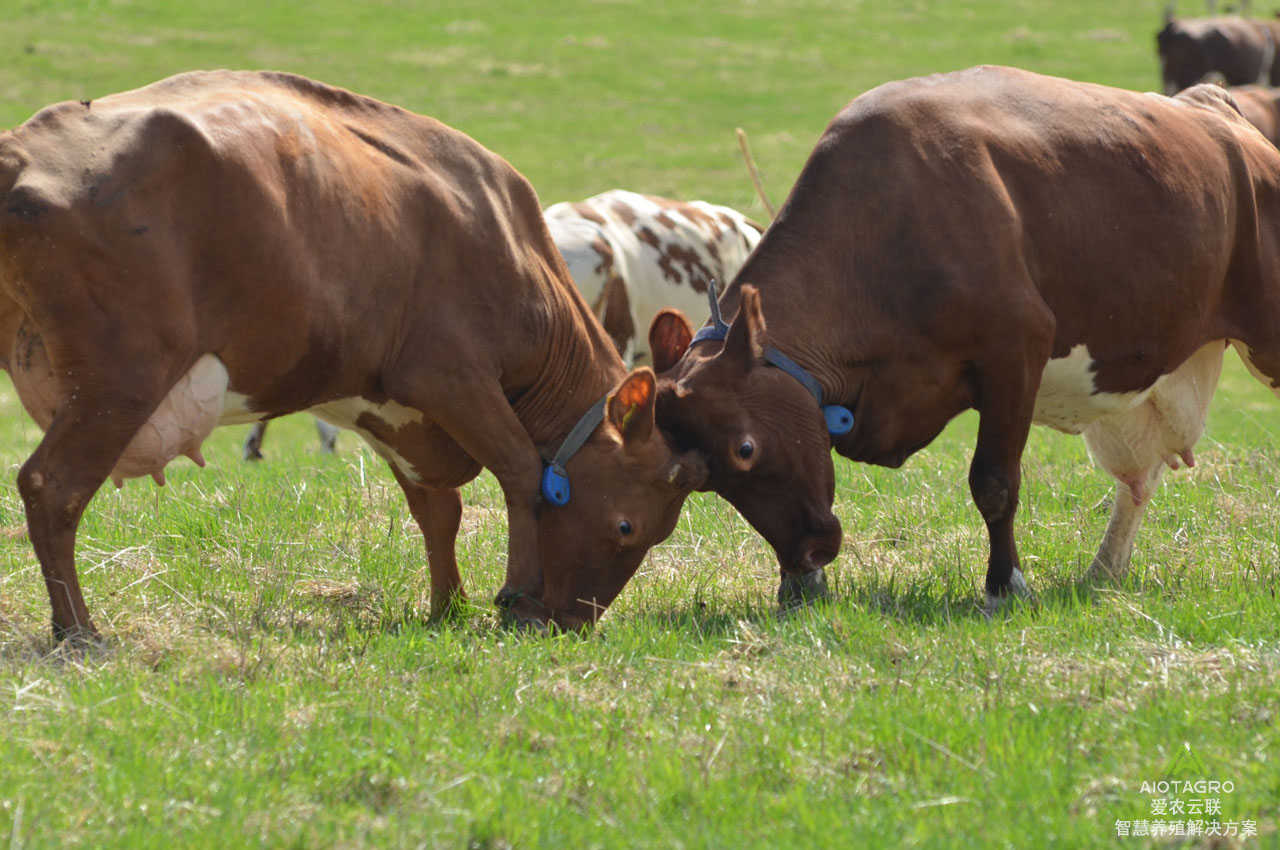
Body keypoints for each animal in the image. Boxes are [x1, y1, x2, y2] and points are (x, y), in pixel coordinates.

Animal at [0, 72, 706, 640]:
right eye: (627, 527)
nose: (571, 624)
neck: (507, 239)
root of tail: (20, 148)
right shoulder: (451, 375)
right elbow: (523, 472)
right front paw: (515, 598)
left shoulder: (392, 406)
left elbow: (437, 510)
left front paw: (447, 608)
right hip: (121, 378)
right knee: (51, 485)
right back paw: (79, 630)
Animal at [645, 66, 1280, 611]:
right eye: (706, 479)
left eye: (744, 449)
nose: (809, 551)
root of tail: (1211, 105)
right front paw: (800, 586)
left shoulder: (1016, 350)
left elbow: (994, 482)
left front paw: (1005, 585)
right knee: (1137, 478)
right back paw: (1103, 572)